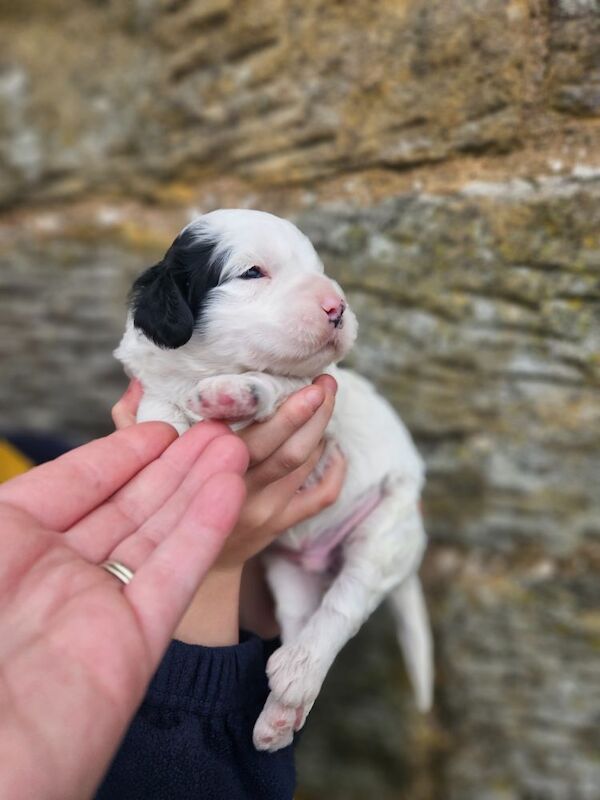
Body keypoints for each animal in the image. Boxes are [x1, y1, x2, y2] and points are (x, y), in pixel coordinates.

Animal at [115, 206, 434, 752]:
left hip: (383, 531)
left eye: (317, 268)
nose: (337, 307)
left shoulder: (310, 389)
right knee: (302, 617)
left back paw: (298, 672)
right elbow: (160, 413)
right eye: (252, 273)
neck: (201, 370)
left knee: (343, 606)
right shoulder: (154, 383)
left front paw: (233, 394)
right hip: (289, 570)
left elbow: (276, 382)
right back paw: (280, 717)